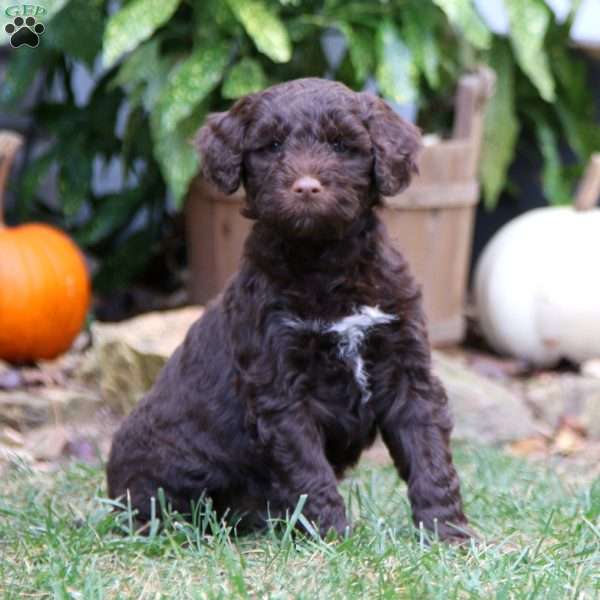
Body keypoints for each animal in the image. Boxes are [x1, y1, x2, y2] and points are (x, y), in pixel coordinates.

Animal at [108, 77, 474, 540]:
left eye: (341, 145)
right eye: (273, 145)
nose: (306, 186)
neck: (325, 263)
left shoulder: (407, 368)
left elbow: (429, 453)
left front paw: (448, 533)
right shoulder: (280, 387)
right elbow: (308, 471)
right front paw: (333, 538)